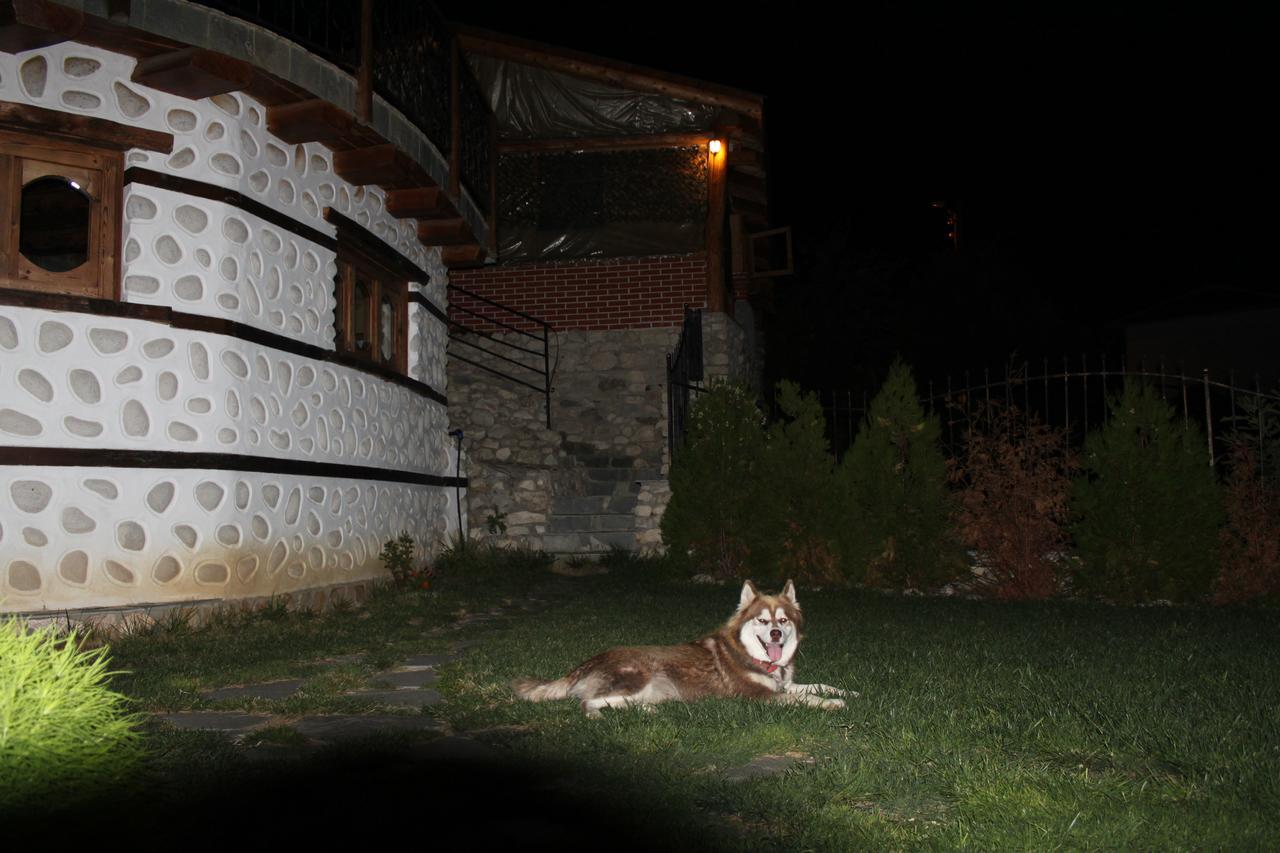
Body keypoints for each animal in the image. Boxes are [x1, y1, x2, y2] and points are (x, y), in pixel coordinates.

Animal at [509, 578, 849, 712]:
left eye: (783, 620)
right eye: (763, 621)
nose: (777, 634)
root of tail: (585, 663)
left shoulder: (783, 684)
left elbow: (817, 685)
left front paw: (845, 692)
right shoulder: (758, 697)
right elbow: (804, 699)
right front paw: (831, 704)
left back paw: (649, 711)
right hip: (636, 676)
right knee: (586, 702)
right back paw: (600, 717)